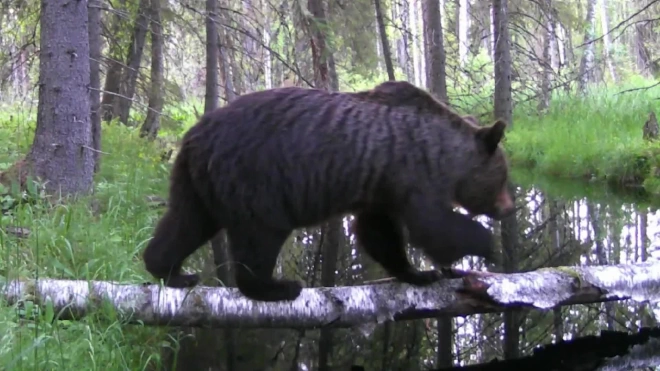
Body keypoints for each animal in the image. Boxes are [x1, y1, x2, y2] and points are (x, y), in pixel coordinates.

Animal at [143, 80, 516, 302]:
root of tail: (195, 135)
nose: (509, 208)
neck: (445, 154)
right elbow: (433, 225)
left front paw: (417, 272)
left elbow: (379, 232)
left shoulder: (379, 186)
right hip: (254, 177)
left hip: (195, 181)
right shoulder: (413, 172)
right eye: (503, 177)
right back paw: (276, 286)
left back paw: (171, 271)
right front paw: (487, 247)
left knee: (185, 222)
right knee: (259, 234)